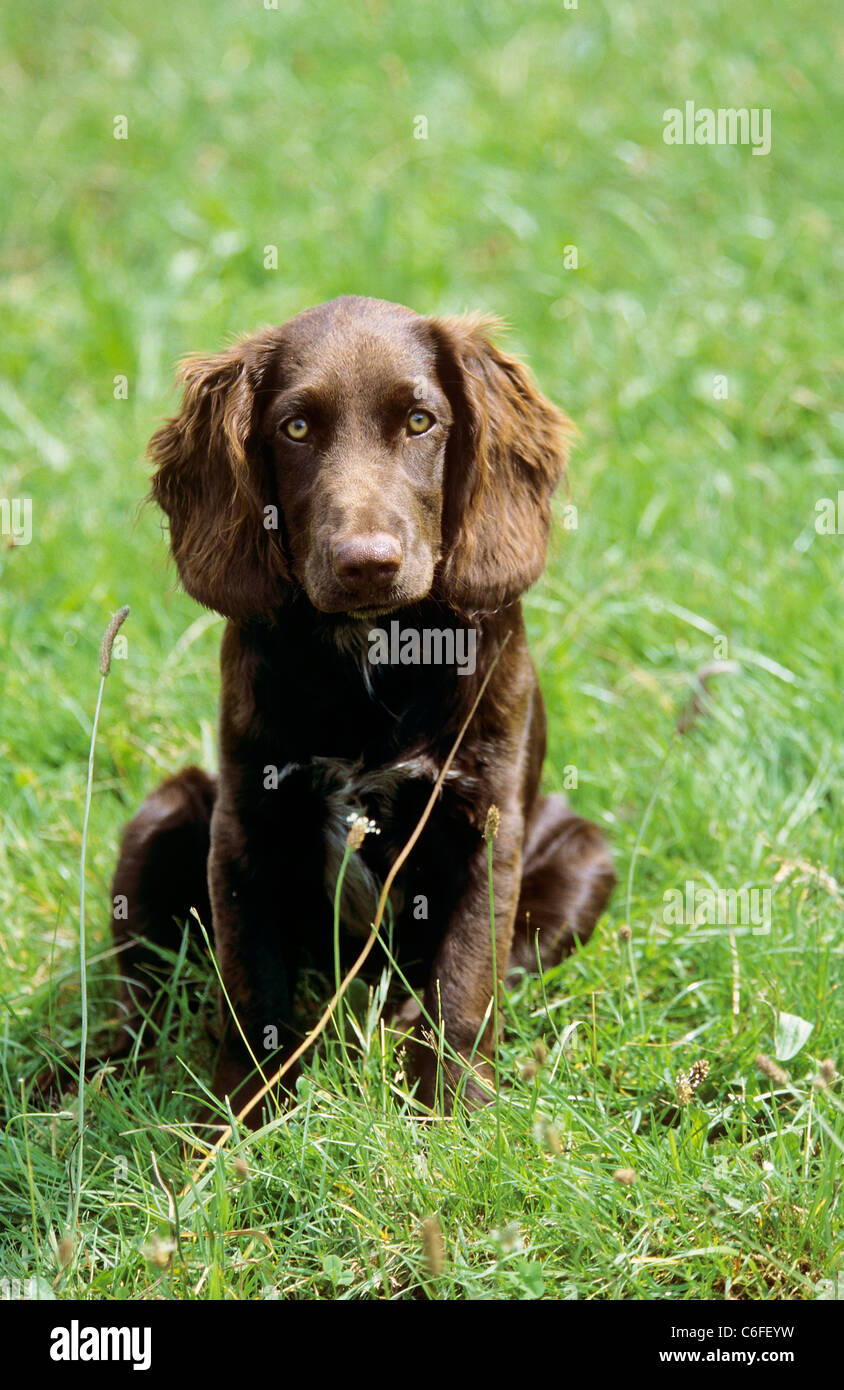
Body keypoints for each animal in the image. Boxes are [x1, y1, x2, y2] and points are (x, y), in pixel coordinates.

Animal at [114, 298, 614, 1123]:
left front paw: (453, 1114)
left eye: (419, 421)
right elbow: (253, 990)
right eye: (294, 428)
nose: (368, 564)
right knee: (132, 1001)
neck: (374, 651)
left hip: (584, 852)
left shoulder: (487, 822)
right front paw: (238, 1123)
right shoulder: (247, 823)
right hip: (164, 815)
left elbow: (465, 978)